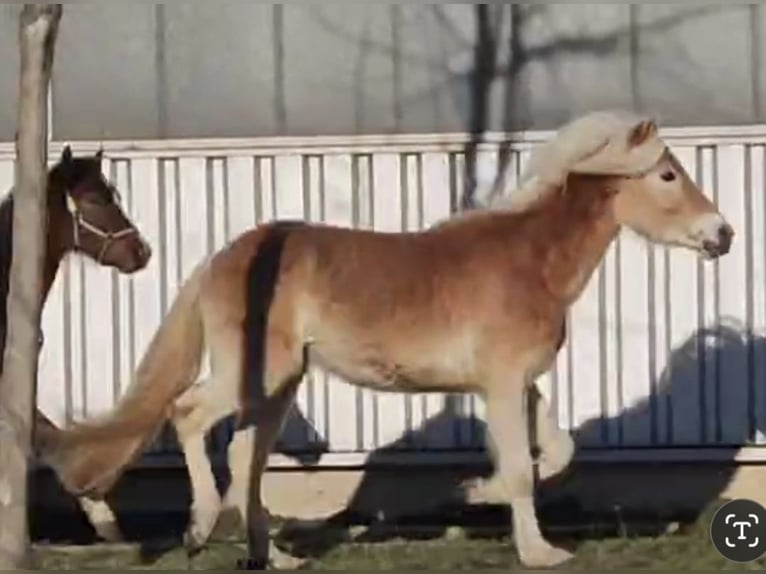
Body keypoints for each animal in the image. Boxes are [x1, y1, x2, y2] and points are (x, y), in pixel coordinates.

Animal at [43, 110, 736, 568]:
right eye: (667, 175)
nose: (723, 234)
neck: (530, 260)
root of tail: (224, 257)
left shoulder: (516, 384)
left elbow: (558, 452)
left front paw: (477, 494)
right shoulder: (503, 384)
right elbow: (519, 468)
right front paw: (537, 548)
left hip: (280, 382)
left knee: (245, 455)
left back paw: (274, 557)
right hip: (256, 373)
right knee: (189, 416)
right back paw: (199, 529)